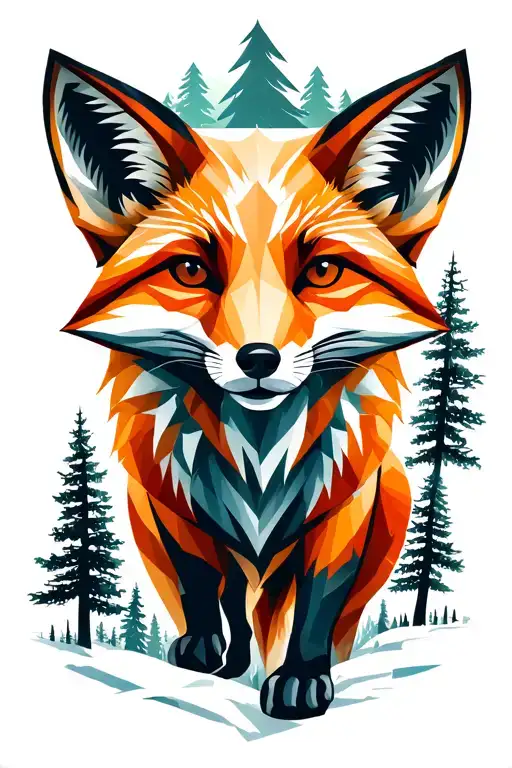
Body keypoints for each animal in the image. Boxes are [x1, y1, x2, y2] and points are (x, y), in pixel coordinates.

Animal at [43, 48, 470, 719]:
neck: (259, 456)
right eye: (192, 270)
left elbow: (318, 603)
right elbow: (200, 587)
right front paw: (206, 651)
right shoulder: (172, 506)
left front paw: (301, 677)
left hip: (394, 494)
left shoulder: (346, 509)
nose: (259, 359)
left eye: (323, 270)